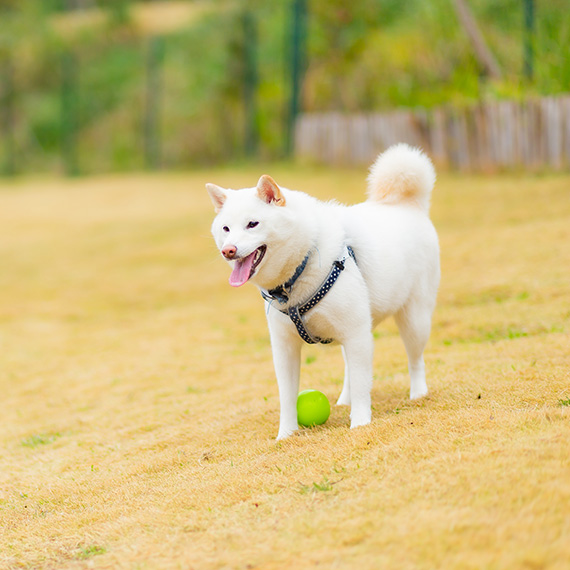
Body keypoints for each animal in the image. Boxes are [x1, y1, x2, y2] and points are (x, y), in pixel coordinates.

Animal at [206, 144, 438, 438]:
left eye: (252, 224)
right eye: (226, 228)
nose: (229, 250)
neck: (298, 271)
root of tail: (406, 205)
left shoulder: (356, 333)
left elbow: (363, 386)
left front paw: (360, 423)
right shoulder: (285, 346)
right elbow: (287, 396)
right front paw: (286, 434)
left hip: (414, 321)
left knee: (414, 359)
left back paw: (418, 393)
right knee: (351, 366)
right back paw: (344, 400)